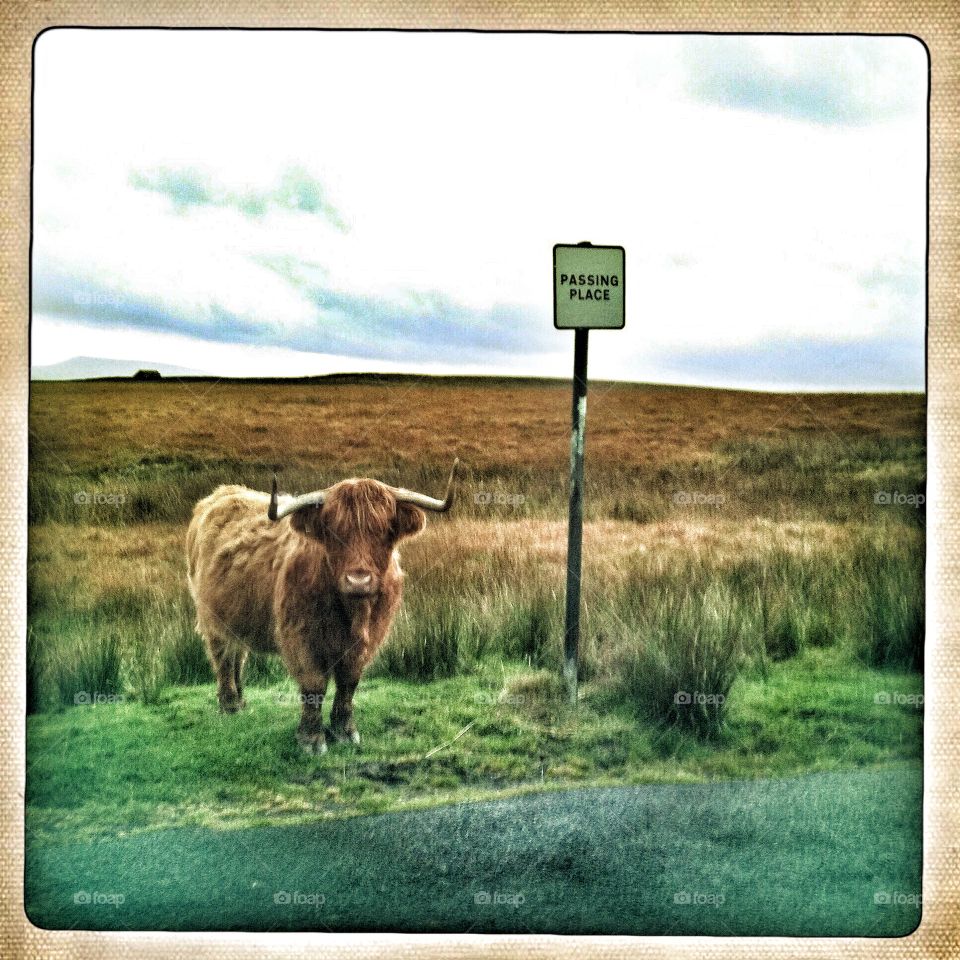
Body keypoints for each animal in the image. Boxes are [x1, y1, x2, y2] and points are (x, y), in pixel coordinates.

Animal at [186, 461, 458, 753]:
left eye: (385, 531)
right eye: (333, 532)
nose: (358, 580)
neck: (350, 612)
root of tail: (220, 494)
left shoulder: (367, 640)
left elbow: (349, 682)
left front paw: (344, 730)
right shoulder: (300, 637)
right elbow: (313, 685)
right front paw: (311, 739)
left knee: (238, 654)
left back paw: (241, 699)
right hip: (211, 618)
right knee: (222, 657)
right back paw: (230, 705)